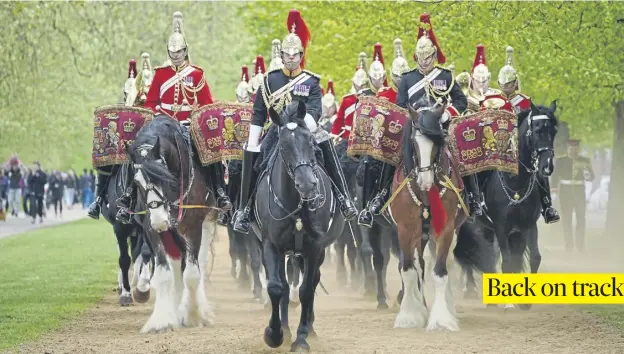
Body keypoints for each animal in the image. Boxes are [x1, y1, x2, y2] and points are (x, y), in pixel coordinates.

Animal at [128, 115, 218, 332]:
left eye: (165, 177)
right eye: (136, 183)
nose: (160, 221)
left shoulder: (193, 226)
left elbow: (192, 274)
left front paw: (193, 315)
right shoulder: (151, 229)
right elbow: (164, 273)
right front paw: (161, 320)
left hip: (207, 222)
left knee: (199, 262)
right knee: (177, 265)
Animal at [250, 101, 346, 352]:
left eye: (311, 142)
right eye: (283, 146)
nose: (308, 185)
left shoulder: (314, 247)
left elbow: (306, 290)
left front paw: (301, 338)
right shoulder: (271, 246)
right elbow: (276, 287)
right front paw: (275, 334)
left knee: (312, 281)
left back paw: (308, 328)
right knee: (284, 285)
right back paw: (284, 327)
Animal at [390, 99, 468, 332]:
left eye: (437, 142)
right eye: (414, 142)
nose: (425, 181)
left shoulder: (446, 230)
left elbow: (440, 272)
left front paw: (441, 319)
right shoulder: (404, 230)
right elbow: (408, 270)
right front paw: (409, 315)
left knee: (443, 264)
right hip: (418, 236)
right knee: (419, 265)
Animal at [460, 101, 560, 308]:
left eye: (554, 130)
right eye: (537, 130)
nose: (547, 166)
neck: (515, 180)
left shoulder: (527, 226)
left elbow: (533, 258)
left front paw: (524, 301)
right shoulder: (501, 226)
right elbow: (506, 262)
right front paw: (508, 302)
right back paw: (472, 290)